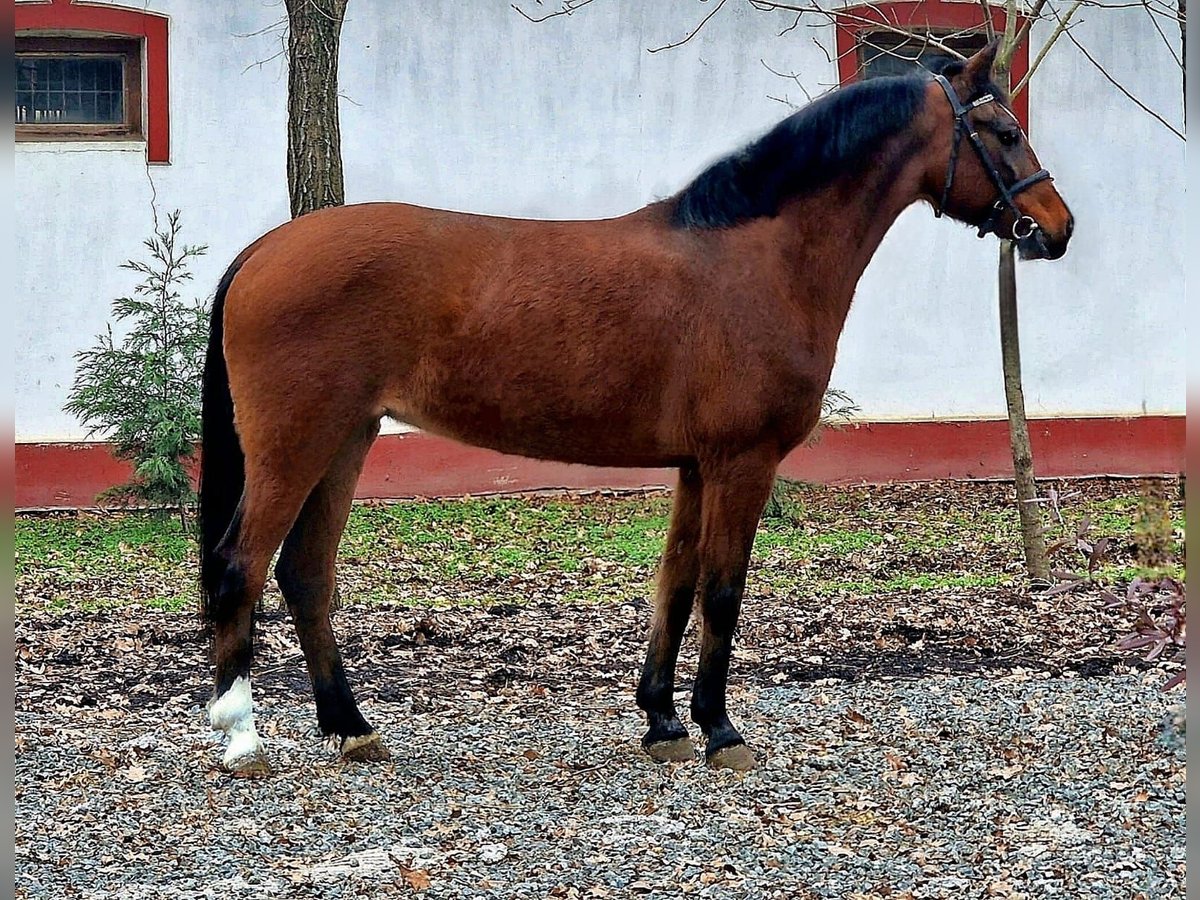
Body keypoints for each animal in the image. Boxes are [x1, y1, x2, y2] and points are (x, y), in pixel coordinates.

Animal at [201, 44, 1075, 777]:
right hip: (299, 441)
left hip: (347, 437)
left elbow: (675, 586)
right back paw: (243, 738)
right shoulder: (742, 461)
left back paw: (351, 728)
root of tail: (263, 249)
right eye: (1003, 131)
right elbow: (722, 591)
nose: (1057, 228)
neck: (760, 257)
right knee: (241, 564)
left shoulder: (695, 466)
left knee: (306, 573)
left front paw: (663, 722)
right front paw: (721, 730)